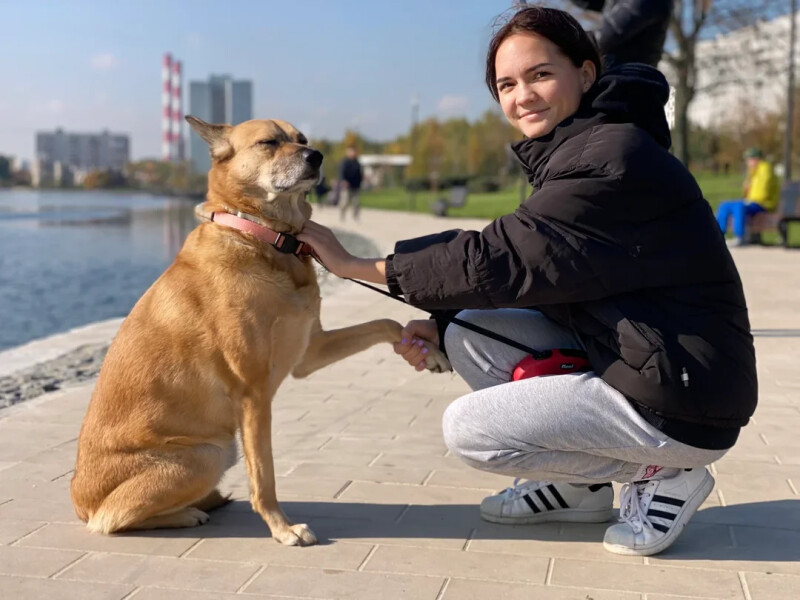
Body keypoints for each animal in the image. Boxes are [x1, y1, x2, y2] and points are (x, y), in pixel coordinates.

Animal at [70, 115, 450, 548]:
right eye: (269, 142)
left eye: (303, 139)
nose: (317, 156)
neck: (262, 236)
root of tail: (80, 502)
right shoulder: (253, 393)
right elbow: (264, 475)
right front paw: (282, 528)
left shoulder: (309, 352)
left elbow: (386, 322)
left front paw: (428, 350)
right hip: (208, 453)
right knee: (110, 519)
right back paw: (186, 513)